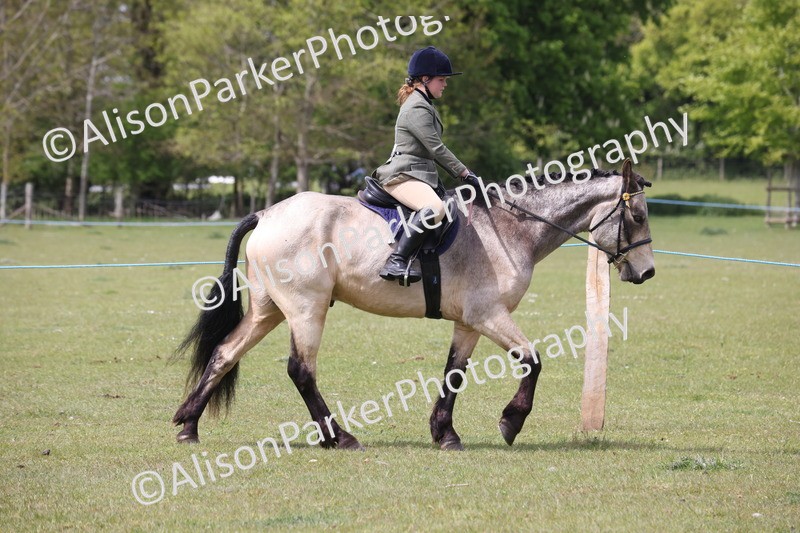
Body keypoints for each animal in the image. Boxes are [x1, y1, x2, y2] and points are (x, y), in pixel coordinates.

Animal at [172, 159, 655, 451]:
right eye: (637, 217)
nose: (647, 273)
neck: (510, 228)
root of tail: (268, 214)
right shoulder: (490, 315)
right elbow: (533, 361)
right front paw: (510, 422)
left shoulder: (470, 322)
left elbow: (453, 374)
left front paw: (445, 433)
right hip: (306, 309)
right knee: (301, 370)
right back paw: (339, 437)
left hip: (269, 310)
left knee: (225, 353)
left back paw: (189, 426)